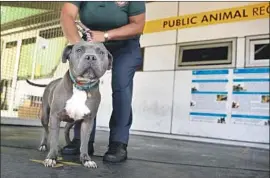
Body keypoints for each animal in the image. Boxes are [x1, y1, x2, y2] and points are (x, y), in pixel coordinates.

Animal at [26, 40, 113, 168]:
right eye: (79, 50)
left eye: (101, 52)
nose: (91, 57)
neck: (81, 86)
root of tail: (52, 82)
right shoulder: (55, 116)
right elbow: (54, 137)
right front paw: (51, 157)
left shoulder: (88, 121)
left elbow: (84, 142)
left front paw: (86, 159)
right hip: (45, 116)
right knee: (47, 130)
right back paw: (44, 145)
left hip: (73, 121)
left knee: (66, 130)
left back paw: (69, 144)